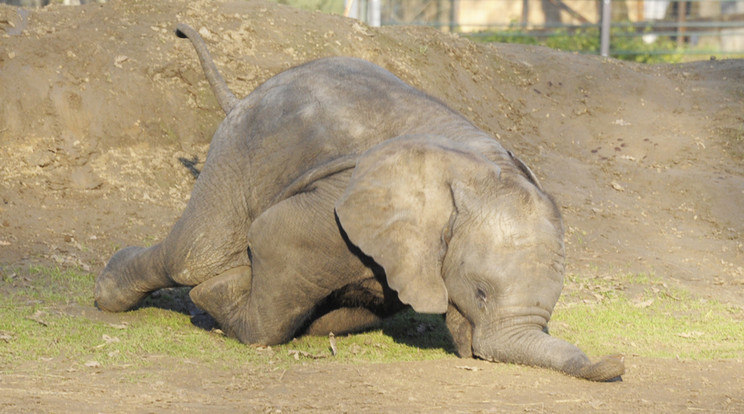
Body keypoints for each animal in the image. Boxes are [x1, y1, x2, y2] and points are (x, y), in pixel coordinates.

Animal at [96, 23, 624, 382]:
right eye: (480, 293)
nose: (617, 362)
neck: (478, 172)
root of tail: (244, 97)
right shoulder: (337, 204)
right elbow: (277, 237)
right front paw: (221, 294)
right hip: (236, 153)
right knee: (193, 255)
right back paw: (112, 294)